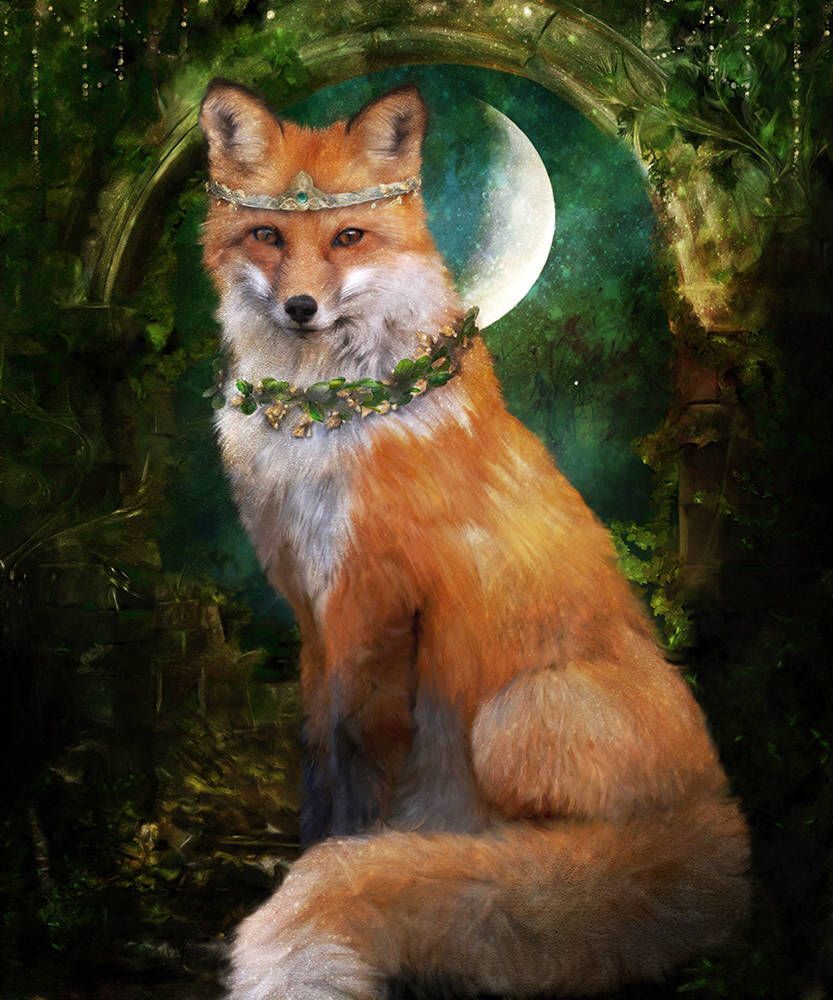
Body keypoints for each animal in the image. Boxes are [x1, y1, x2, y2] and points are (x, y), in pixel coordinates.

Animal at [197, 79, 750, 1000]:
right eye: (268, 235)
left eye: (347, 236)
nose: (301, 308)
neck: (326, 412)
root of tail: (720, 824)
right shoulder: (309, 603)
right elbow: (315, 743)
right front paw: (310, 845)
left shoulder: (375, 599)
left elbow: (356, 755)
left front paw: (342, 848)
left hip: (513, 715)